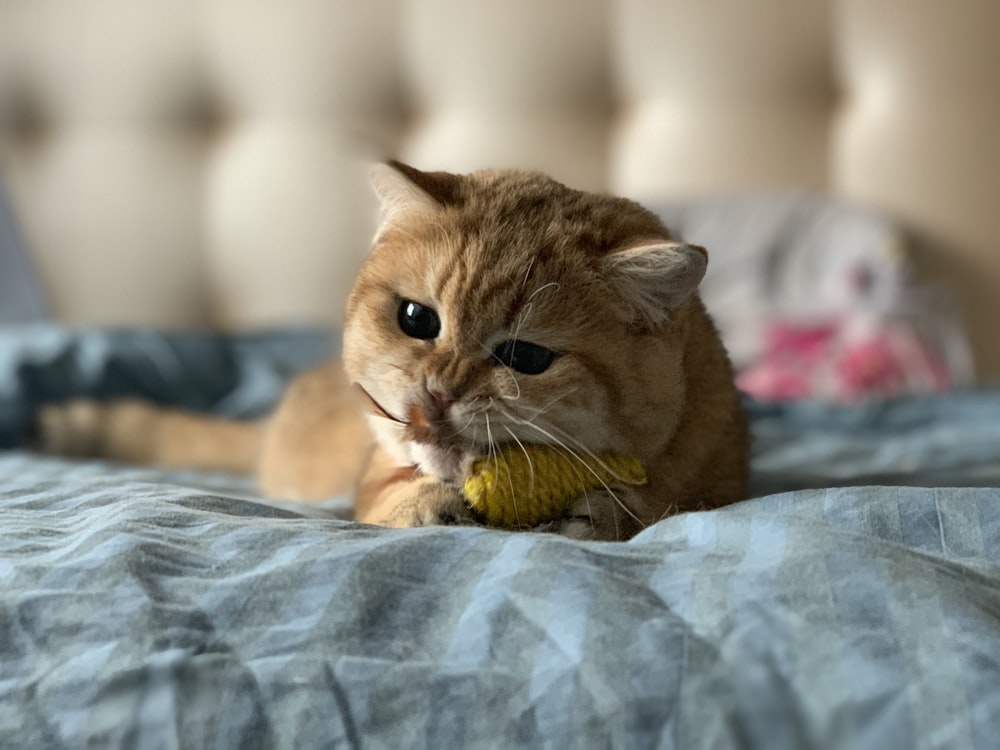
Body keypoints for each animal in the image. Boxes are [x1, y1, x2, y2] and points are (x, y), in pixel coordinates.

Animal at [39, 164, 748, 540]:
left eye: (525, 358)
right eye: (416, 319)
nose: (437, 392)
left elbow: (662, 506)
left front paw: (607, 511)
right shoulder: (374, 471)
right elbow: (385, 495)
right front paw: (422, 502)